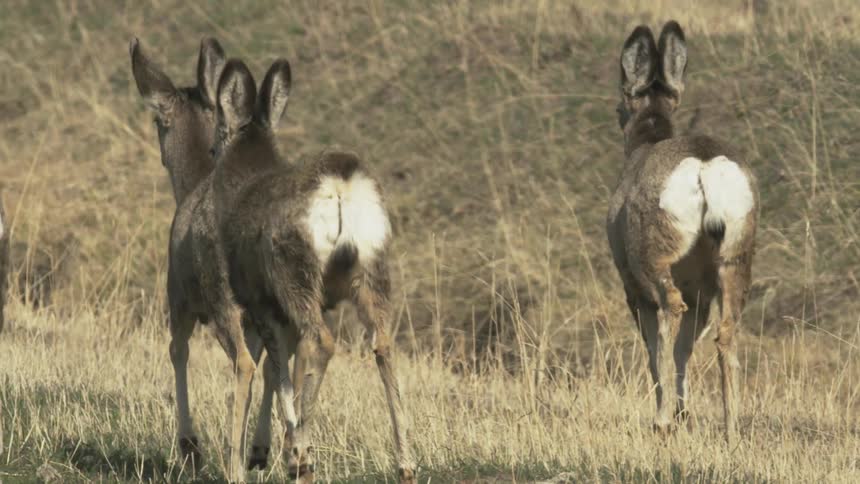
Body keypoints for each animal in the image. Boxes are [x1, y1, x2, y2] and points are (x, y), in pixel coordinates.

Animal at [130, 37, 296, 480]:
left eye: (158, 121)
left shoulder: (178, 296)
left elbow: (177, 351)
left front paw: (190, 447)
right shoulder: (257, 320)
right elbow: (269, 369)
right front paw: (257, 449)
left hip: (219, 294)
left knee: (243, 364)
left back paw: (233, 464)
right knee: (276, 364)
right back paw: (272, 454)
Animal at [209, 58, 416, 483]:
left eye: (217, 134)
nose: (210, 151)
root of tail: (340, 184)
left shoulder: (261, 301)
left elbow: (279, 374)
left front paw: (290, 449)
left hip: (293, 271)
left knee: (322, 342)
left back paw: (304, 452)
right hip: (373, 267)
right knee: (384, 343)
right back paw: (406, 463)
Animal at [606, 21, 758, 443]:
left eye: (620, 106)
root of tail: (704, 166)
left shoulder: (630, 284)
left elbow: (655, 347)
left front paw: (673, 413)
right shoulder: (701, 289)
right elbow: (684, 349)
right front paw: (684, 412)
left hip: (654, 254)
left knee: (669, 310)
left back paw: (660, 421)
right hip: (736, 255)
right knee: (726, 331)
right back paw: (731, 429)